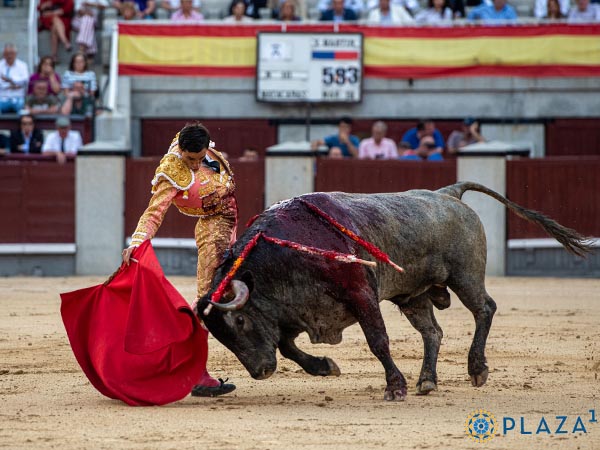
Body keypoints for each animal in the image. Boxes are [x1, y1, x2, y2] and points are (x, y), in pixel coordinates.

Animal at [198, 182, 592, 400]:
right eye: (220, 337)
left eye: (239, 321)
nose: (260, 372)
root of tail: (447, 193)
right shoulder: (293, 311)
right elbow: (287, 346)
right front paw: (324, 366)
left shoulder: (361, 294)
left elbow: (378, 341)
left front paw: (395, 387)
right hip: (414, 295)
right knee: (433, 332)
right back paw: (427, 380)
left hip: (465, 276)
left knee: (485, 309)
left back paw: (476, 368)